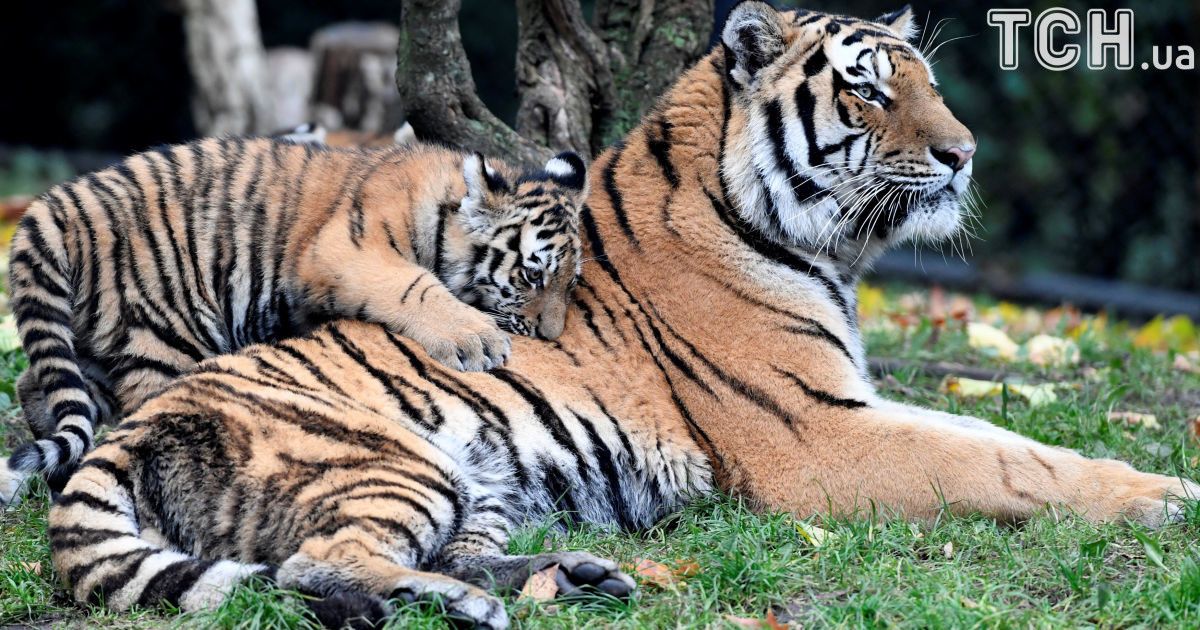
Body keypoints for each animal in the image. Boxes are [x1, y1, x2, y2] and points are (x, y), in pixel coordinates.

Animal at [0, 139, 587, 505]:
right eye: (533, 275)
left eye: (569, 282)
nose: (551, 334)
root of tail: (56, 203)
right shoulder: (349, 250)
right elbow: (416, 288)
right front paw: (478, 339)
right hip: (163, 331)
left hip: (99, 337)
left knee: (38, 383)